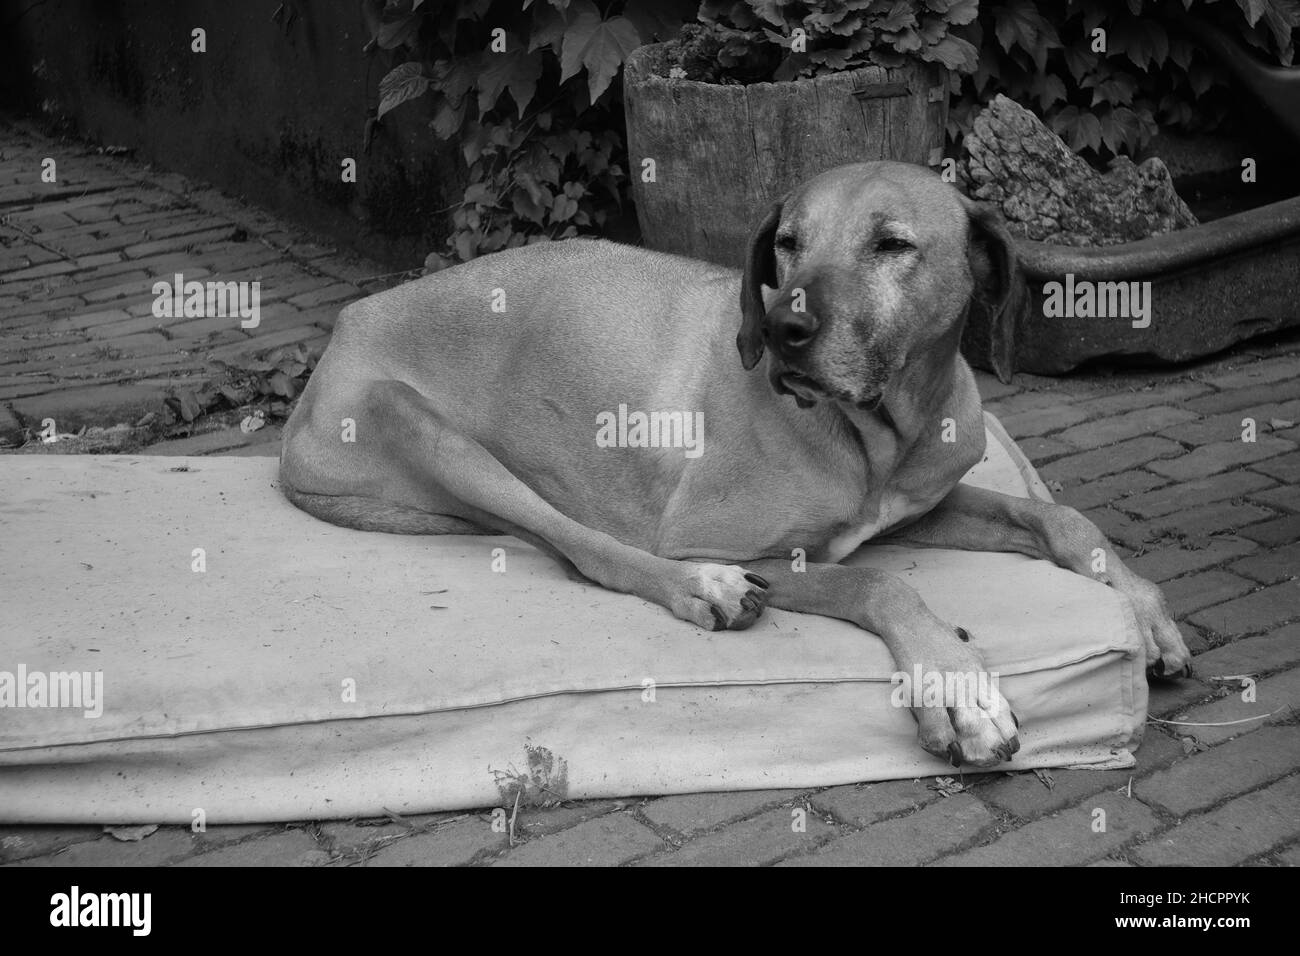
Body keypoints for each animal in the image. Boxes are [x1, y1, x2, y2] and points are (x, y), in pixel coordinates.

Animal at [279, 160, 1190, 764]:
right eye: (787, 242)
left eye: (893, 245)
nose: (786, 330)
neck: (878, 432)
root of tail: (344, 327)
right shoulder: (742, 541)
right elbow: (877, 581)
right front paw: (955, 684)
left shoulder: (925, 504)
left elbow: (1060, 516)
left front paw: (1143, 608)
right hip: (422, 428)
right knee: (590, 551)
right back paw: (703, 589)